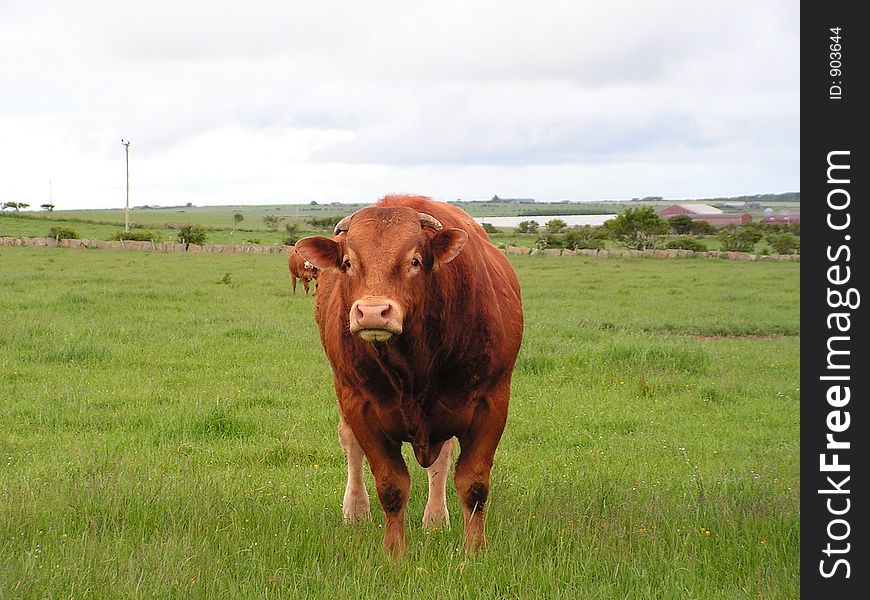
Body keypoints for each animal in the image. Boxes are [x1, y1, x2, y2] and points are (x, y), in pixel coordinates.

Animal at [292, 195, 524, 556]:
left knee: (442, 461)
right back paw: (355, 509)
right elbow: (391, 486)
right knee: (351, 446)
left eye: (415, 260)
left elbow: (473, 485)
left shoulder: (492, 402)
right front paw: (394, 551)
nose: (373, 312)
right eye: (348, 262)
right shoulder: (361, 406)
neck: (414, 366)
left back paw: (436, 518)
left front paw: (474, 549)